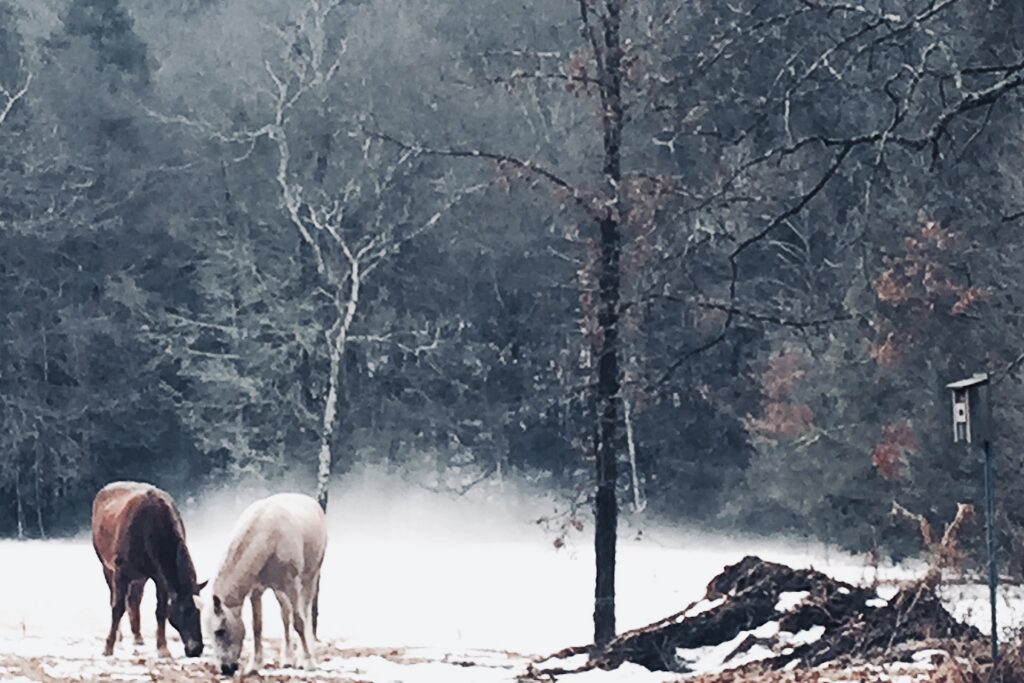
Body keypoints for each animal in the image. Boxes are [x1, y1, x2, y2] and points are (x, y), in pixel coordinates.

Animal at [94, 483, 207, 659]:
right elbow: (117, 607)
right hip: (107, 568)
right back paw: (119, 637)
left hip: (140, 577)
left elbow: (161, 610)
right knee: (115, 598)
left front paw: (163, 648)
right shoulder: (120, 572)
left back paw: (137, 636)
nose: (196, 649)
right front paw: (108, 646)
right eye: (185, 611)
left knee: (134, 600)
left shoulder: (161, 578)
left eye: (200, 611)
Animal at [210, 493, 329, 675]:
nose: (226, 669)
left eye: (220, 632)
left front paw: (309, 662)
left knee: (306, 613)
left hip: (310, 578)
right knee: (285, 616)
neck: (268, 535)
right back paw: (288, 660)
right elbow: (257, 626)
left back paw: (306, 658)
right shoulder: (256, 591)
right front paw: (255, 665)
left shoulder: (292, 585)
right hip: (279, 591)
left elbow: (299, 622)